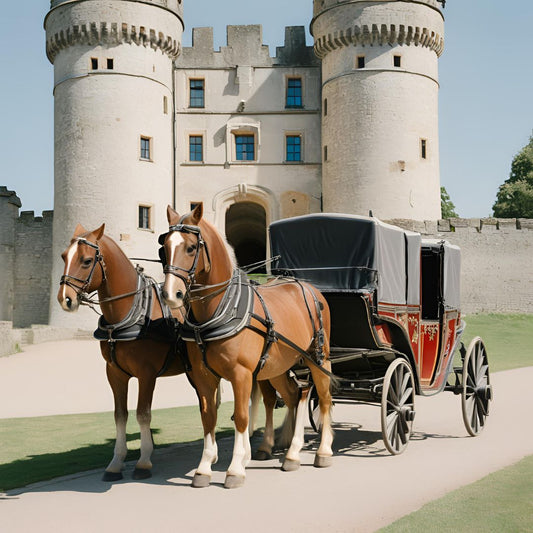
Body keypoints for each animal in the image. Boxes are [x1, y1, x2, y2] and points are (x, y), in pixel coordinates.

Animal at [56, 222, 187, 480]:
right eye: (64, 256)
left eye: (87, 260)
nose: (65, 299)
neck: (132, 313)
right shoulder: (115, 373)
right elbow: (120, 415)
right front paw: (116, 462)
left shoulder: (147, 374)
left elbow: (143, 414)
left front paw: (144, 461)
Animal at [160, 206, 332, 488]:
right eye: (164, 247)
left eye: (191, 247)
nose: (169, 294)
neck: (219, 310)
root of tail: (309, 288)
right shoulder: (204, 377)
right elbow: (208, 417)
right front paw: (204, 468)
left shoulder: (241, 375)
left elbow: (242, 416)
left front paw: (236, 468)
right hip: (278, 367)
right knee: (295, 395)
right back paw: (292, 453)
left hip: (318, 358)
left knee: (323, 398)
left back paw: (323, 450)